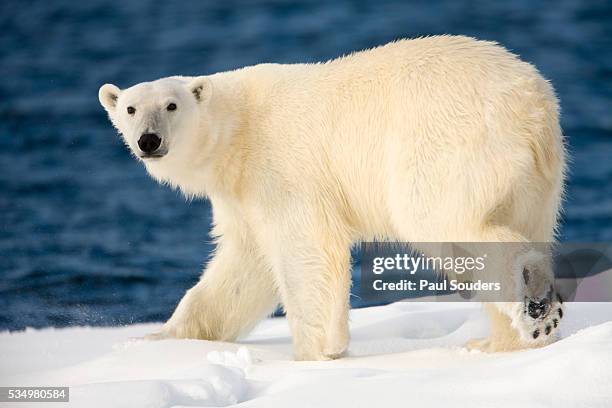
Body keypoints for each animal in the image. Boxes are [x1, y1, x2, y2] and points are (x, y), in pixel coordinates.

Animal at [99, 35, 564, 360]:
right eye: (130, 109)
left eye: (171, 105)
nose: (148, 140)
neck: (237, 132)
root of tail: (532, 105)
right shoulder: (240, 194)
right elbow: (243, 266)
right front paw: (164, 338)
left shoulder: (281, 166)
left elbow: (306, 248)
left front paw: (316, 353)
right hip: (536, 180)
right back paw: (501, 342)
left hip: (443, 145)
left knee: (441, 221)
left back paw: (533, 308)